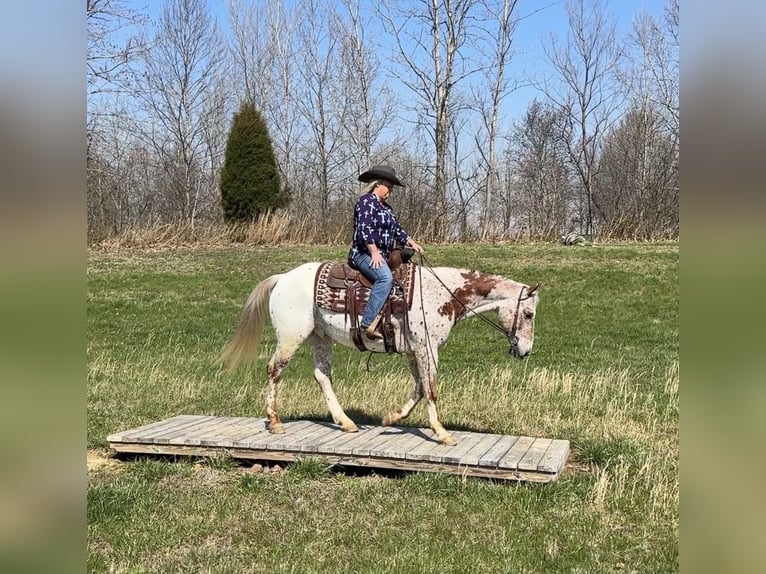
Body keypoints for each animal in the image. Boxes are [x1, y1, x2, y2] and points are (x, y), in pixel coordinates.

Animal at [220, 260, 539, 446]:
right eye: (529, 314)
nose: (525, 351)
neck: (441, 294)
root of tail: (282, 278)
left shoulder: (414, 351)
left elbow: (419, 388)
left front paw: (391, 418)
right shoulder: (428, 350)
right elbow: (431, 389)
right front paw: (442, 433)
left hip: (320, 339)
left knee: (322, 376)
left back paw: (346, 422)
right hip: (290, 337)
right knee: (274, 370)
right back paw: (274, 422)